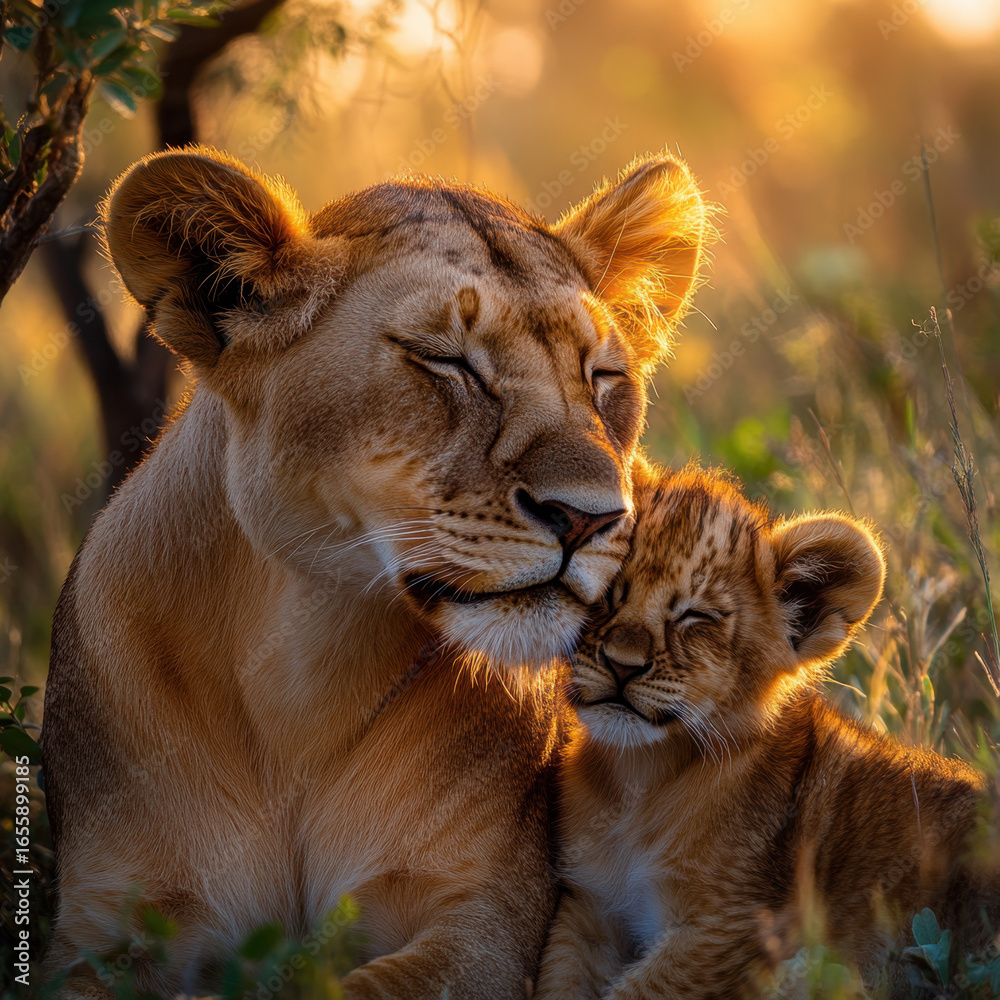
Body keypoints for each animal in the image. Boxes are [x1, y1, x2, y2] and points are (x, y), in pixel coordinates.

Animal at [41, 148, 713, 998]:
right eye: (445, 360)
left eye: (602, 375)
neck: (301, 674)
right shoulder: (102, 924)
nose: (592, 517)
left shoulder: (487, 922)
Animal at [536, 461, 1000, 999]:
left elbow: (640, 991)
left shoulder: (733, 928)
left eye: (696, 616)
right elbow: (559, 981)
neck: (636, 780)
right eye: (607, 588)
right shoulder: (590, 909)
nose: (622, 665)